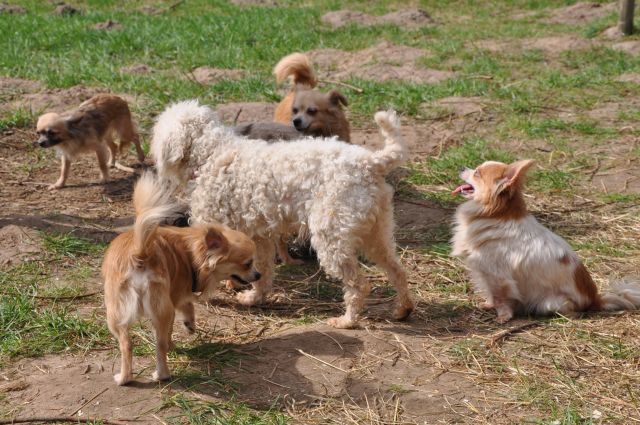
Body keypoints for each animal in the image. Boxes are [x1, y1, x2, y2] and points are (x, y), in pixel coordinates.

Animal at [102, 172, 260, 384]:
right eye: (248, 263)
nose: (258, 275)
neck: (191, 251)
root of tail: (140, 253)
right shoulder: (177, 292)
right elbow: (188, 305)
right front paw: (190, 325)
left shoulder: (175, 295)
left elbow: (185, 307)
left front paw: (186, 328)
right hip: (143, 311)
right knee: (139, 344)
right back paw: (131, 377)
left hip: (117, 314)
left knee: (144, 344)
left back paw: (146, 374)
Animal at [151, 100, 416, 328]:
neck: (212, 154)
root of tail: (371, 163)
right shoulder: (258, 236)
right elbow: (262, 270)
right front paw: (253, 297)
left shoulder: (212, 224)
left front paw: (204, 296)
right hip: (376, 232)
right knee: (397, 270)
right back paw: (403, 309)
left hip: (332, 237)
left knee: (358, 285)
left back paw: (347, 320)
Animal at [450, 159, 640, 322]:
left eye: (477, 173)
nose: (460, 167)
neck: (494, 214)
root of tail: (594, 299)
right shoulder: (486, 273)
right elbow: (491, 293)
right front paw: (488, 305)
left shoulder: (497, 275)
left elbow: (501, 298)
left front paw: (503, 316)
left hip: (549, 303)